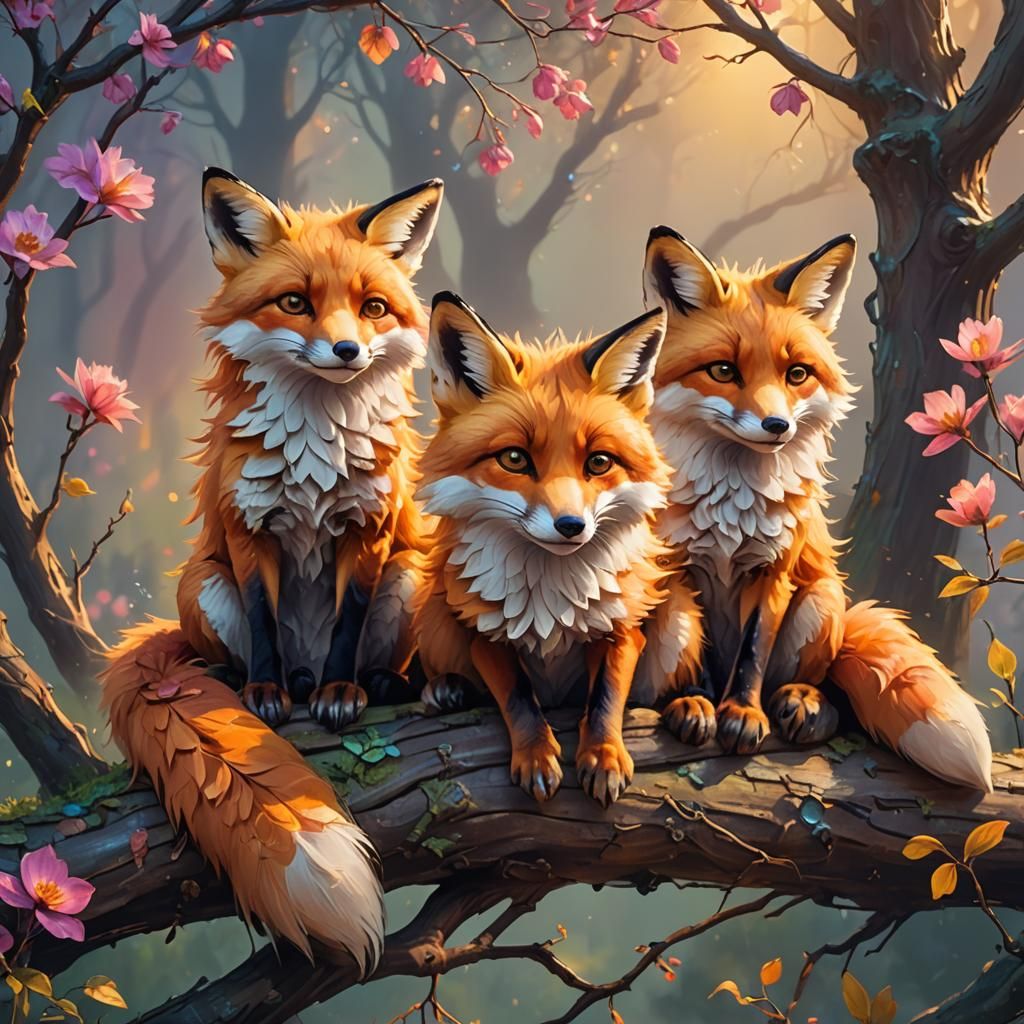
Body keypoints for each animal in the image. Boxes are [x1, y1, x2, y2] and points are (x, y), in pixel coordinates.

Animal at [101, 169, 446, 970]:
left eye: (372, 307)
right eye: (295, 303)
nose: (348, 350)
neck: (317, 445)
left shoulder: (369, 531)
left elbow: (349, 621)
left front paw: (344, 694)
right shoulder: (246, 529)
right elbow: (261, 617)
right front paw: (261, 692)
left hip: (412, 575)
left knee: (381, 658)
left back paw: (373, 684)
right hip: (200, 584)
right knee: (227, 654)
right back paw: (257, 680)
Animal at [414, 292, 704, 807]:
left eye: (600, 462)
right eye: (514, 458)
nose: (571, 526)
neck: (550, 597)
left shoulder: (622, 627)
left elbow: (606, 696)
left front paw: (604, 756)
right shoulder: (485, 633)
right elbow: (518, 698)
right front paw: (534, 757)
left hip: (679, 614)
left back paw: (692, 704)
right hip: (433, 614)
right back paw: (445, 691)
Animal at [639, 225, 993, 792]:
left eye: (797, 374)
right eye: (723, 371)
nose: (777, 426)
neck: (730, 506)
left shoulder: (775, 571)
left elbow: (752, 656)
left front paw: (743, 713)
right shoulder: (678, 572)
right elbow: (696, 651)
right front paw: (696, 701)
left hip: (822, 600)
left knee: (828, 695)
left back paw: (805, 703)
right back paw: (686, 703)